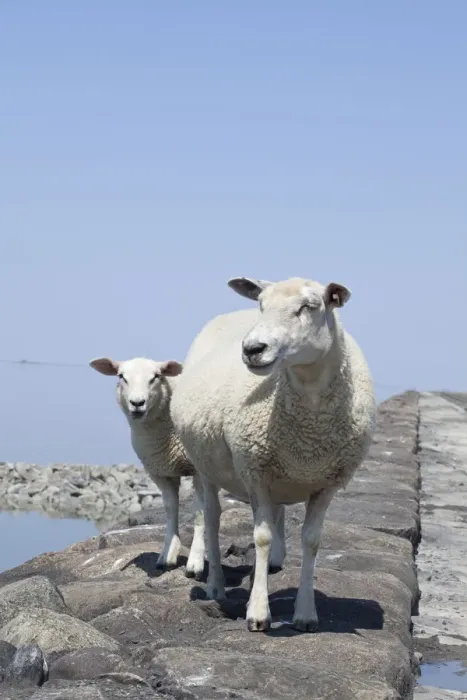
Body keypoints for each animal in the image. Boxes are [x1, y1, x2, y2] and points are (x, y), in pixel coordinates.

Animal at [89, 356, 205, 579]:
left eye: (156, 377)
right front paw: (167, 554)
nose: (137, 403)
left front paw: (196, 562)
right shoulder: (160, 471)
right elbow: (170, 509)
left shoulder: (201, 470)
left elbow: (200, 512)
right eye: (121, 376)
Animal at [171, 276, 376, 632]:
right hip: (206, 465)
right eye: (261, 305)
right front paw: (258, 612)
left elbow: (312, 541)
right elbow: (262, 538)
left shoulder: (326, 483)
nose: (252, 349)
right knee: (210, 518)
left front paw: (305, 613)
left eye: (309, 306)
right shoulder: (256, 474)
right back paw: (216, 585)